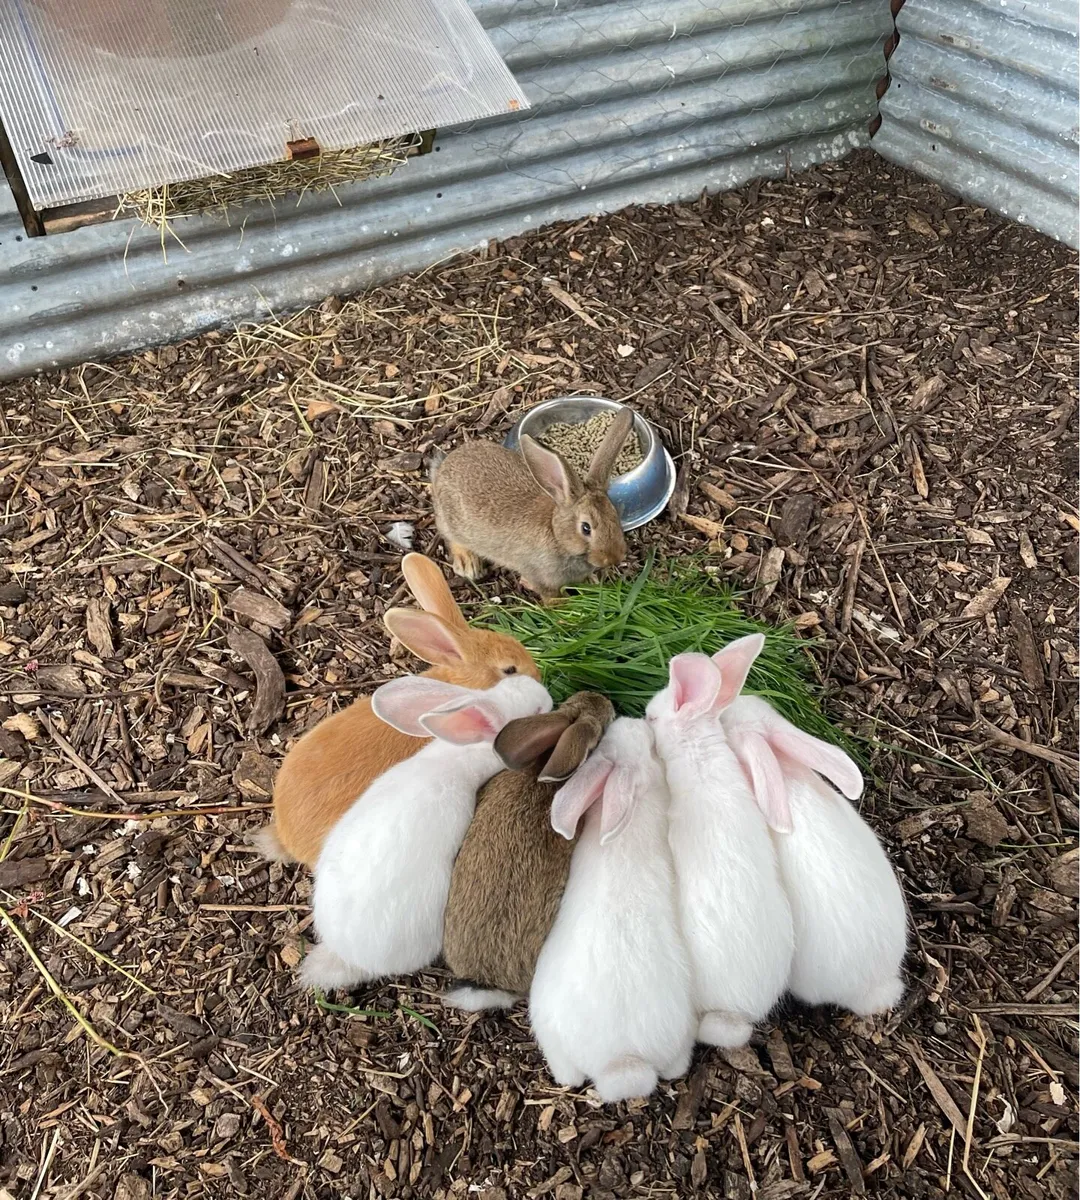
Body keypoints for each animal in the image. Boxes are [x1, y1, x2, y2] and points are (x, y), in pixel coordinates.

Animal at [431, 407, 634, 602]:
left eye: (615, 516)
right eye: (586, 528)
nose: (615, 557)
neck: (558, 537)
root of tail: (443, 468)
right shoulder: (538, 575)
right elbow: (551, 595)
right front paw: (563, 607)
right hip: (452, 522)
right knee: (450, 537)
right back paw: (468, 564)